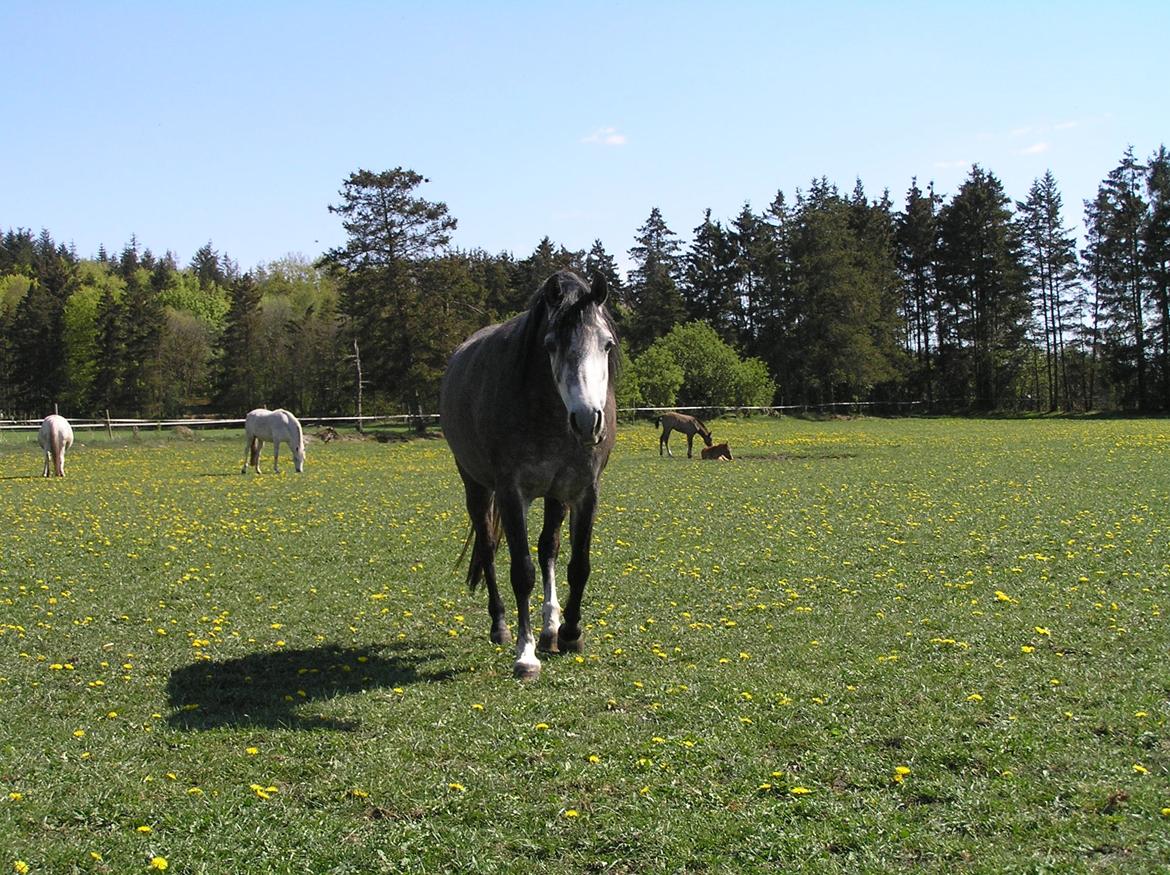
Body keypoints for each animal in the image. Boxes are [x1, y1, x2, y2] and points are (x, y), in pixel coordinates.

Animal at [440, 270, 618, 680]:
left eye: (607, 344)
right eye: (550, 345)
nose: (587, 421)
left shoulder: (584, 491)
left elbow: (578, 565)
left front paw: (570, 632)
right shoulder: (511, 493)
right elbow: (521, 571)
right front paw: (526, 654)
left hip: (554, 495)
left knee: (548, 547)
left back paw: (551, 628)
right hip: (475, 487)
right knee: (488, 548)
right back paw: (500, 626)